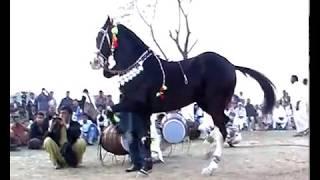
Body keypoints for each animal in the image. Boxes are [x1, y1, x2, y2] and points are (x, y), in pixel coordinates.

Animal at [91, 16, 276, 176]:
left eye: (100, 36)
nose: (94, 62)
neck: (139, 69)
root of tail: (230, 65)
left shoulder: (136, 104)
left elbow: (109, 110)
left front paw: (117, 128)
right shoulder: (144, 111)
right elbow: (145, 137)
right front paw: (146, 167)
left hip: (214, 103)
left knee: (222, 127)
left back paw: (211, 165)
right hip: (206, 103)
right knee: (224, 123)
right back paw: (211, 145)